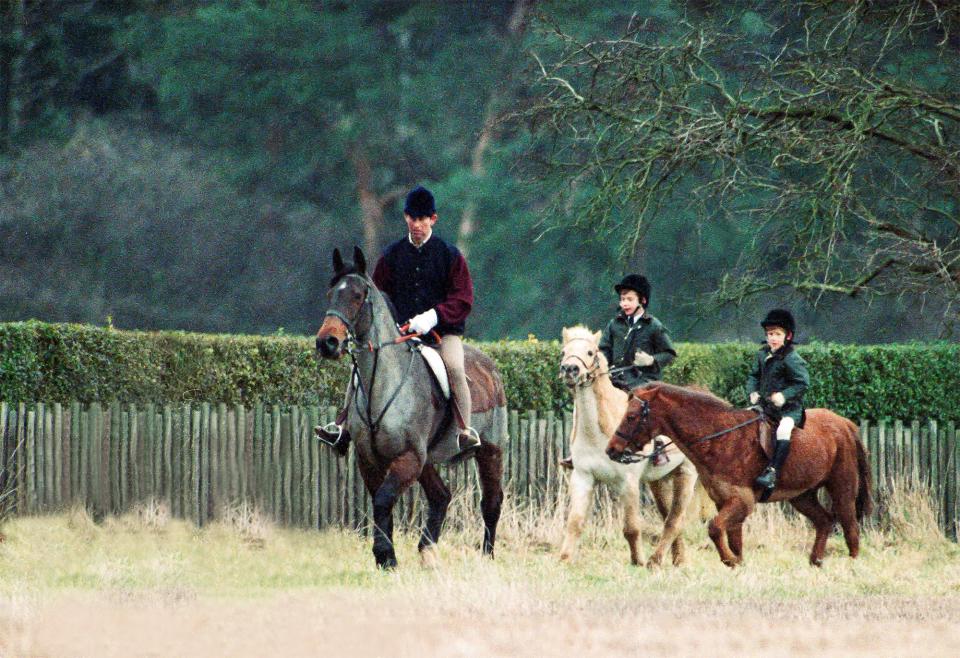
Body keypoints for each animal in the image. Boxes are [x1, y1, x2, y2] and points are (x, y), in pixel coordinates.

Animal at [316, 246, 510, 568]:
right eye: (330, 293)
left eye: (357, 295)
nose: (326, 343)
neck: (383, 382)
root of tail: (491, 369)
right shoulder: (371, 460)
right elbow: (381, 503)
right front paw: (385, 557)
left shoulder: (408, 458)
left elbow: (383, 500)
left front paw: (385, 556)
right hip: (428, 460)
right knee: (441, 496)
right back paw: (427, 550)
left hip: (489, 452)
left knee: (491, 502)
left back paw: (486, 556)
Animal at [556, 326, 696, 568]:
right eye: (564, 352)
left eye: (590, 352)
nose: (570, 369)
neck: (598, 432)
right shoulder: (583, 477)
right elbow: (575, 522)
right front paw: (564, 559)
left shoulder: (628, 482)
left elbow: (631, 527)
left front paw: (637, 561)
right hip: (659, 481)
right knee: (668, 516)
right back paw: (678, 559)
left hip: (686, 474)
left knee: (674, 520)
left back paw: (656, 561)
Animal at [608, 382, 872, 568]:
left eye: (631, 416)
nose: (611, 450)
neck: (721, 438)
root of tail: (845, 424)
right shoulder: (724, 501)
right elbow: (733, 538)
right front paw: (737, 563)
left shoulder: (742, 502)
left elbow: (714, 528)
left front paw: (730, 561)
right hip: (802, 496)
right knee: (824, 521)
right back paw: (816, 561)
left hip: (842, 488)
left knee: (850, 527)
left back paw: (852, 564)